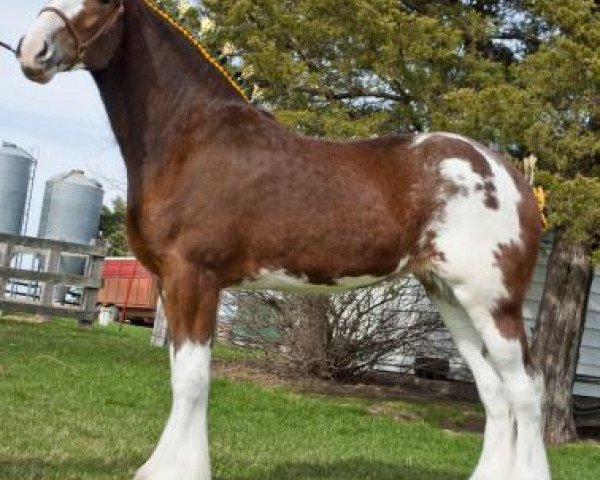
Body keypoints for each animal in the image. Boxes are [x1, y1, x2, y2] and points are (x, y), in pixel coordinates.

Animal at [16, 0, 552, 480]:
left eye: (102, 2)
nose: (32, 50)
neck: (192, 139)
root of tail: (510, 176)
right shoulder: (171, 282)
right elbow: (179, 374)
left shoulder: (195, 277)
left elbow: (191, 379)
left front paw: (177, 472)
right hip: (450, 298)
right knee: (494, 392)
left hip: (493, 302)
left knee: (526, 388)